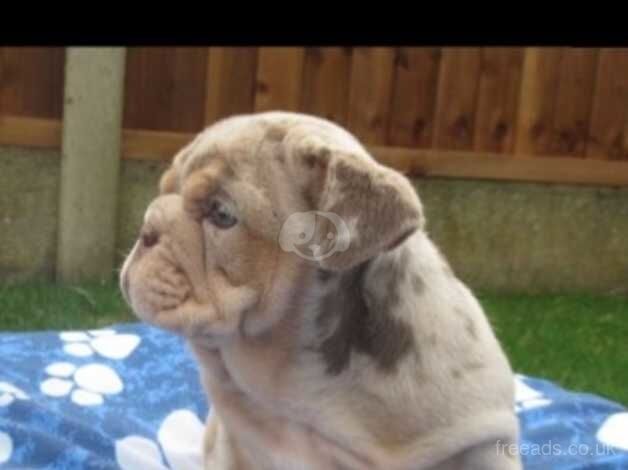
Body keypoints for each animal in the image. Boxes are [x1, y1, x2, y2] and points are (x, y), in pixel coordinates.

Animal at [120, 111, 524, 470]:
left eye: (221, 214)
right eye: (163, 190)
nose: (146, 229)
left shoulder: (485, 444)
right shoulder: (233, 443)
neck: (296, 378)